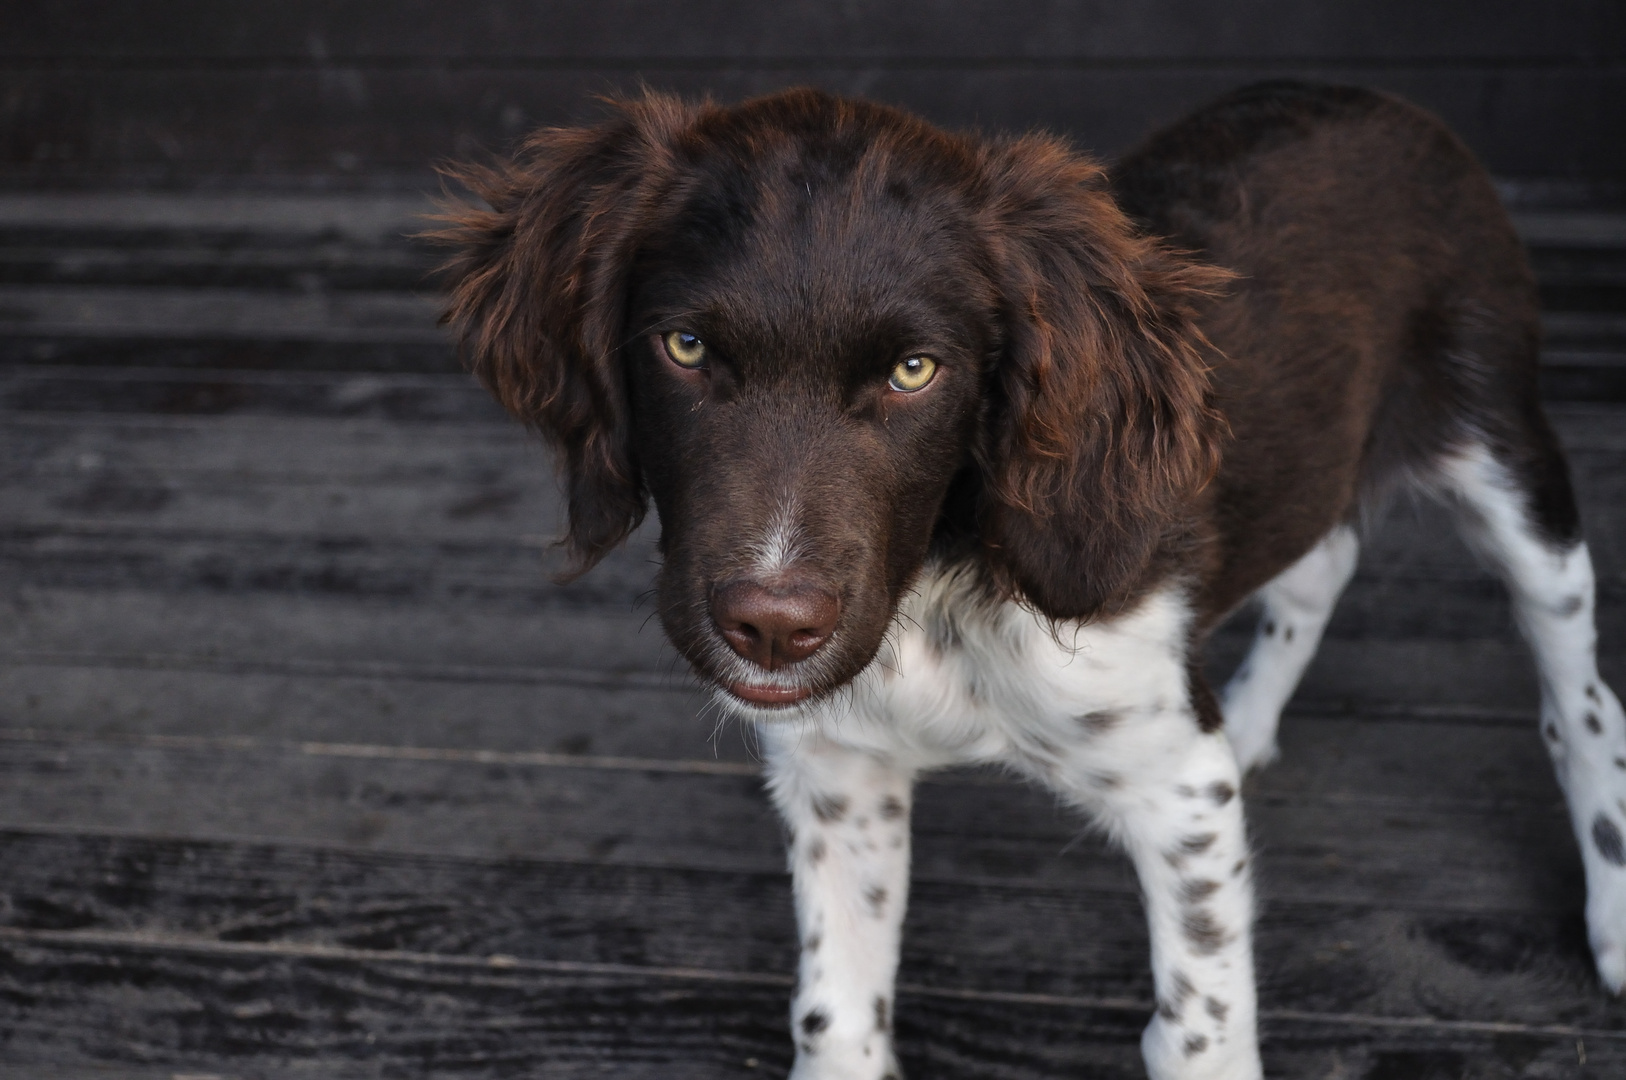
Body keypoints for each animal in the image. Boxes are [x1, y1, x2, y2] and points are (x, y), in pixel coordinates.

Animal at [435, 80, 1626, 1073]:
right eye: (682, 348)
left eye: (916, 372)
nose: (771, 628)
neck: (933, 592)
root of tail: (1389, 104)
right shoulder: (840, 773)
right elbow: (835, 1015)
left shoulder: (1174, 780)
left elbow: (1197, 1028)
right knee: (1321, 553)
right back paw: (1253, 717)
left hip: (1506, 452)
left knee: (1580, 697)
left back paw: (1611, 910)